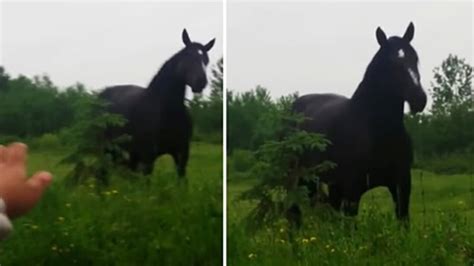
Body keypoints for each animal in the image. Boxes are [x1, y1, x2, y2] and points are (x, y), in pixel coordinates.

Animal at [102, 29, 217, 179]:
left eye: (206, 60)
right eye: (187, 56)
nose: (201, 82)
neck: (166, 109)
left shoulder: (181, 155)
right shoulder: (148, 157)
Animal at [290, 22, 428, 227]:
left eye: (415, 58)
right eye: (390, 63)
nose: (419, 100)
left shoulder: (402, 186)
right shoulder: (353, 191)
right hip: (300, 178)